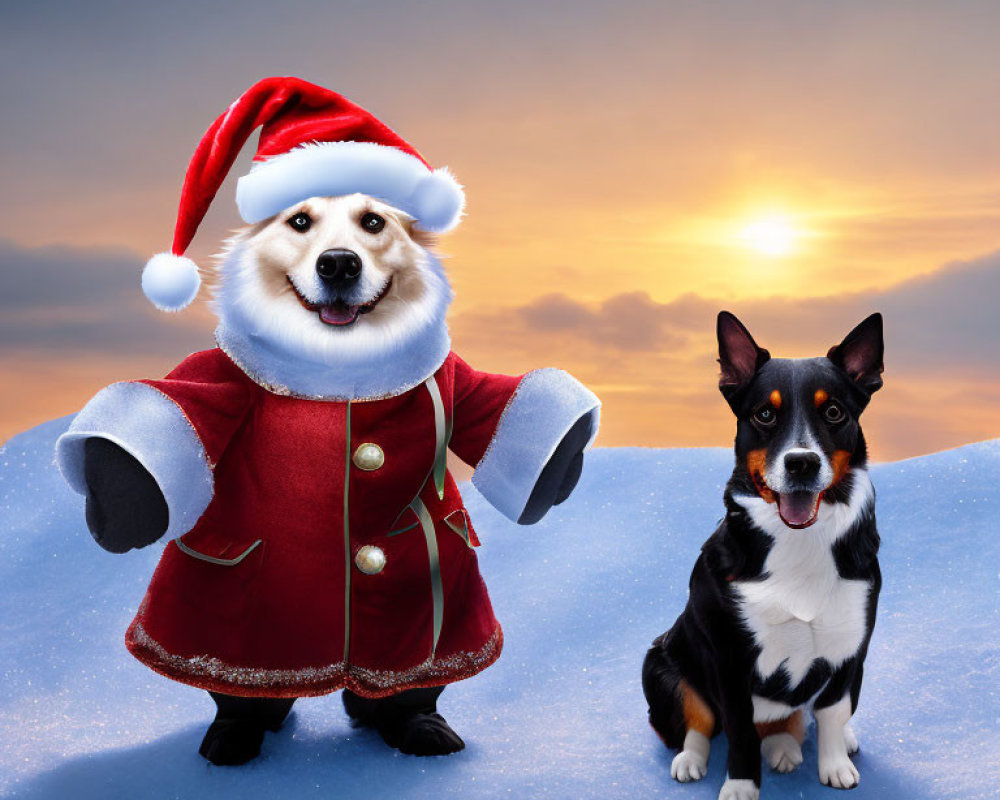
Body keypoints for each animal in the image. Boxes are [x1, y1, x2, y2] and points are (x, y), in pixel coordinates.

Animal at [640, 310, 884, 796]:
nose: (801, 463)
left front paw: (833, 765)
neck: (800, 541)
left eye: (834, 412)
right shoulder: (729, 658)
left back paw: (792, 746)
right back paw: (692, 758)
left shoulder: (851, 648)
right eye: (765, 414)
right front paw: (740, 785)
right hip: (660, 661)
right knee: (700, 720)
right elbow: (737, 728)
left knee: (793, 721)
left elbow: (832, 710)